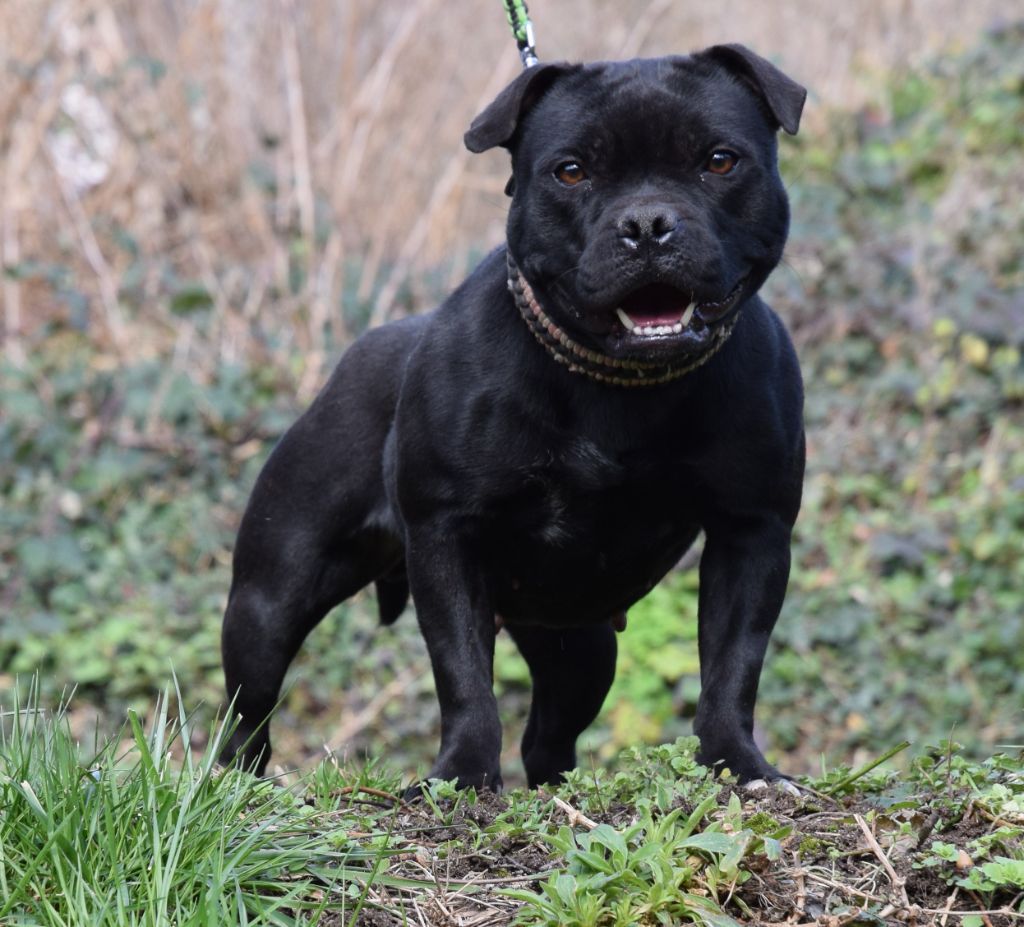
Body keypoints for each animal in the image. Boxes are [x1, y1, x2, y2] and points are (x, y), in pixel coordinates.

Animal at [224, 43, 806, 786]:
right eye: (572, 170)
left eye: (720, 161)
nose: (646, 224)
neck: (620, 384)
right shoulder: (448, 535)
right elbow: (464, 676)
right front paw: (461, 776)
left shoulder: (751, 532)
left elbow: (733, 666)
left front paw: (737, 762)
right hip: (270, 598)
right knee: (248, 706)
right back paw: (237, 783)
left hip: (578, 645)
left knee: (548, 735)